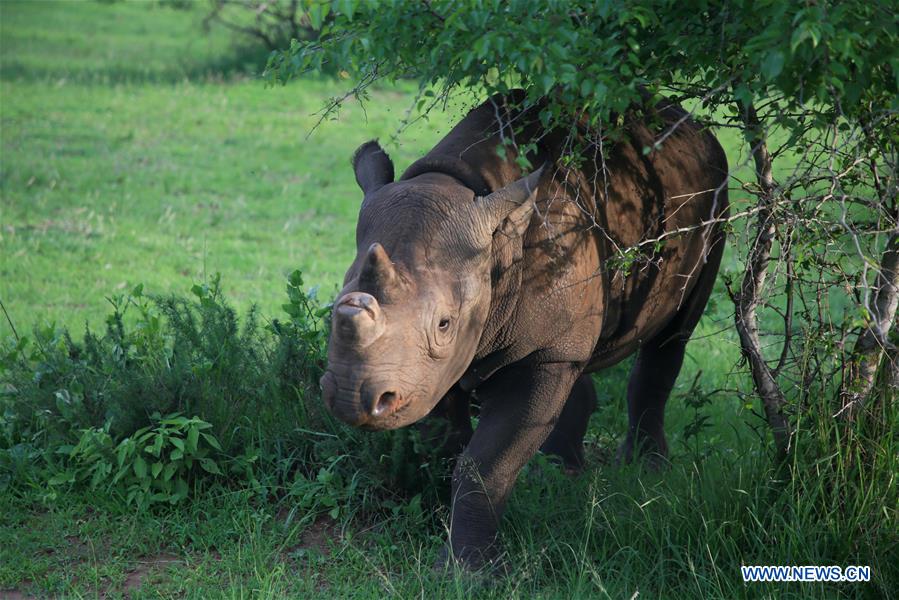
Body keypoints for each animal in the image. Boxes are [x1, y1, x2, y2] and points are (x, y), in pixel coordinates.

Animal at [319, 91, 729, 570]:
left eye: (444, 323)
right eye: (335, 306)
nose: (350, 398)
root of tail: (691, 125)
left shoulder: (526, 354)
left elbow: (486, 463)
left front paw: (468, 570)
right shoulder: (425, 373)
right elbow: (447, 442)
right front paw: (440, 522)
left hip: (716, 196)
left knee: (672, 336)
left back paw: (644, 470)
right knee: (581, 354)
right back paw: (562, 473)